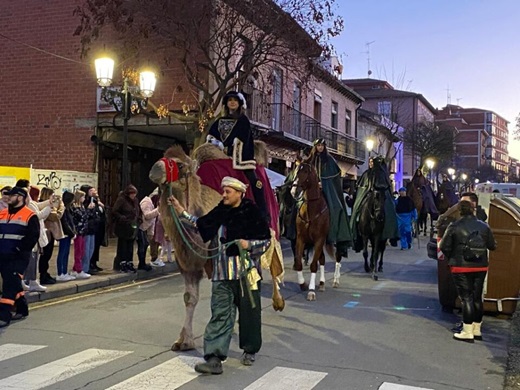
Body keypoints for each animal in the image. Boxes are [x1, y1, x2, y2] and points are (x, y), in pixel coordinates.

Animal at [290, 163, 344, 300]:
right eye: (296, 170)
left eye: (305, 172)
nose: (294, 191)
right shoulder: (301, 239)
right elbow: (299, 262)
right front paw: (303, 284)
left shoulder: (319, 239)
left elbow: (314, 265)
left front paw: (311, 291)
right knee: (323, 259)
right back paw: (322, 283)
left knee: (337, 256)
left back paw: (336, 280)